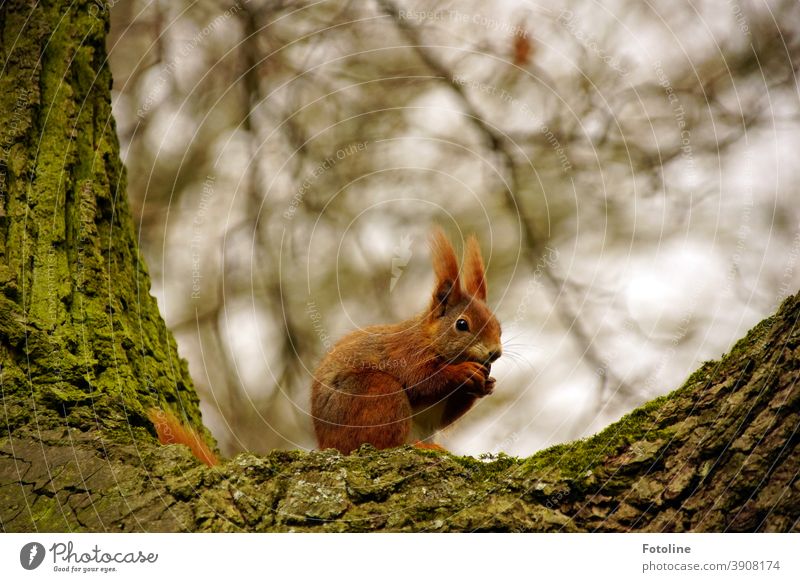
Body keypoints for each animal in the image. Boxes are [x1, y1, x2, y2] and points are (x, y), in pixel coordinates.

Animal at [310, 229, 504, 456]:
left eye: (498, 326)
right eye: (462, 324)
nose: (495, 353)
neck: (428, 338)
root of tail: (326, 443)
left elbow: (445, 417)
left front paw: (488, 384)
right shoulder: (406, 353)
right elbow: (421, 379)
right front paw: (463, 371)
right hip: (375, 391)